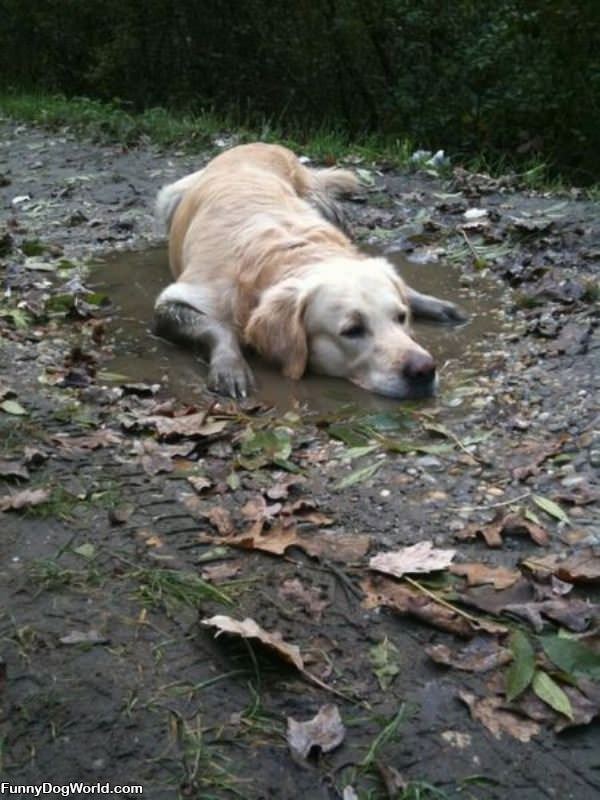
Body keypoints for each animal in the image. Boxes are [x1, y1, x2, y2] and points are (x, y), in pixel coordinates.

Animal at [152, 142, 462, 398]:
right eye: (352, 330)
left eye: (401, 318)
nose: (425, 369)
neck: (289, 252)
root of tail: (259, 143)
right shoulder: (175, 300)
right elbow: (216, 327)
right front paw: (231, 366)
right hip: (169, 195)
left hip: (322, 202)